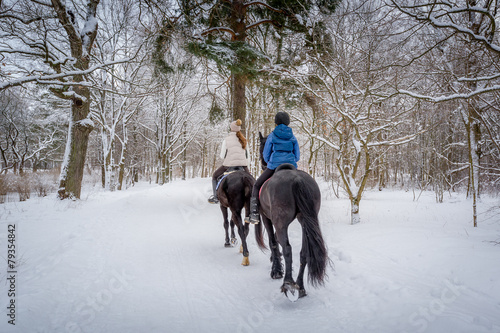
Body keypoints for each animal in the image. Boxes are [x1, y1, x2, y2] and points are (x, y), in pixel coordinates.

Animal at [256, 132, 330, 300]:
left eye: (262, 147)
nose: (263, 163)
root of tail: (297, 179)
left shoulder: (266, 217)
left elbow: (273, 242)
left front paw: (276, 270)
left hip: (281, 222)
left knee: (287, 248)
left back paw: (288, 283)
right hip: (305, 221)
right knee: (304, 253)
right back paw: (300, 287)